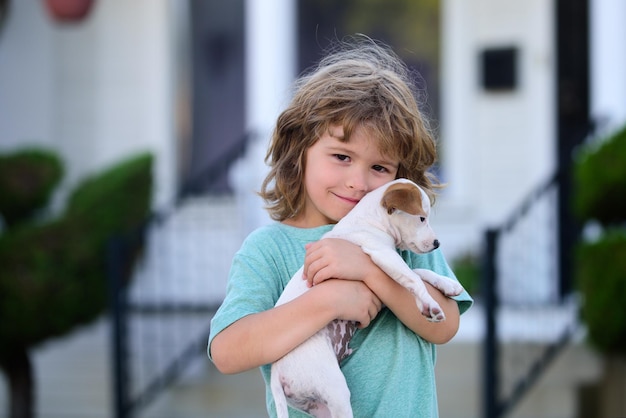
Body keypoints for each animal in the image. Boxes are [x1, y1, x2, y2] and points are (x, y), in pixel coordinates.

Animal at [268, 178, 464, 416]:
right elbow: (414, 278)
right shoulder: (383, 254)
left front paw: (447, 284)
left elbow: (419, 273)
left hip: (319, 405)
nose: (437, 243)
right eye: (421, 218)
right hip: (335, 390)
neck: (372, 221)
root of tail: (276, 375)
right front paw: (430, 304)